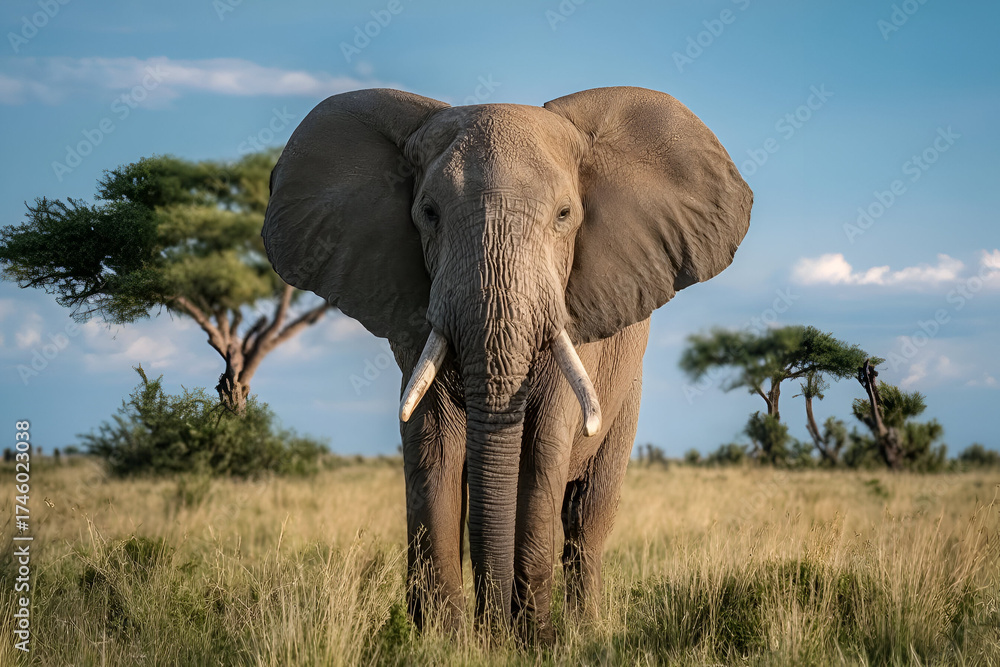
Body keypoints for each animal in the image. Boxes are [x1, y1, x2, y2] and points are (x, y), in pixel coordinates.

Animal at [261, 86, 752, 640]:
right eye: (428, 213)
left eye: (565, 215)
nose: (490, 630)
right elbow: (434, 445)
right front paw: (443, 640)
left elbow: (542, 448)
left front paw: (533, 640)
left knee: (588, 517)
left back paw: (584, 631)